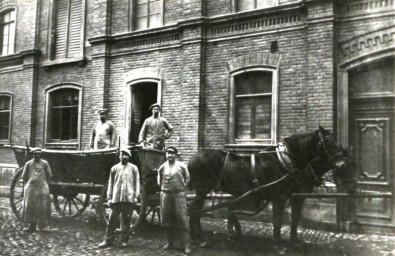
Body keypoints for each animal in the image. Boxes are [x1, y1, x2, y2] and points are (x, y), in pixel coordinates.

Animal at [187, 126, 358, 246]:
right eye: (327, 143)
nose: (341, 164)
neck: (287, 162)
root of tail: (193, 157)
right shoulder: (279, 197)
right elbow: (277, 220)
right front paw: (277, 242)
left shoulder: (295, 196)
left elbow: (295, 217)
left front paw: (294, 240)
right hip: (202, 190)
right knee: (194, 209)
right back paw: (196, 238)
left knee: (199, 210)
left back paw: (200, 236)